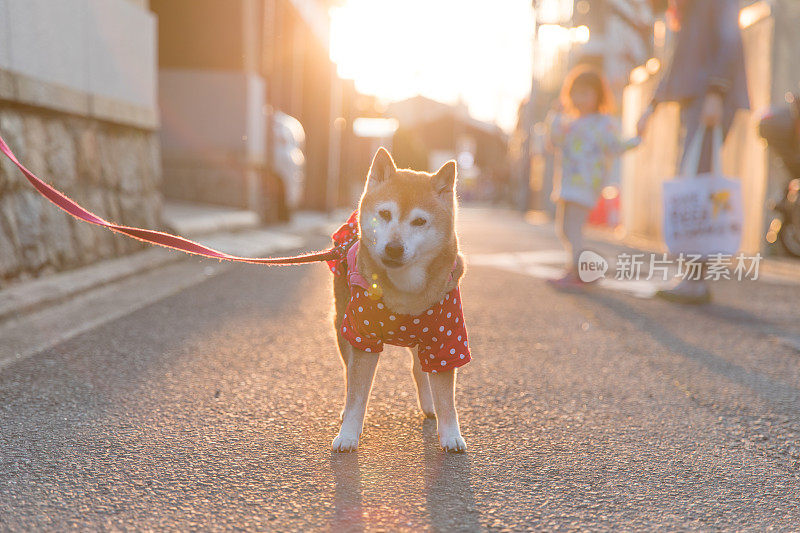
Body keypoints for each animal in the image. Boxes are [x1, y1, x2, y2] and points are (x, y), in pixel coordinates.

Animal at [328, 148, 472, 450]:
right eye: (385, 213)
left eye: (419, 221)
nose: (394, 248)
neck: (405, 292)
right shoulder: (363, 336)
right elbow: (357, 393)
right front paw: (348, 434)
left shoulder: (446, 340)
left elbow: (446, 398)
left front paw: (451, 434)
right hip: (342, 323)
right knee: (348, 371)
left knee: (419, 369)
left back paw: (429, 406)